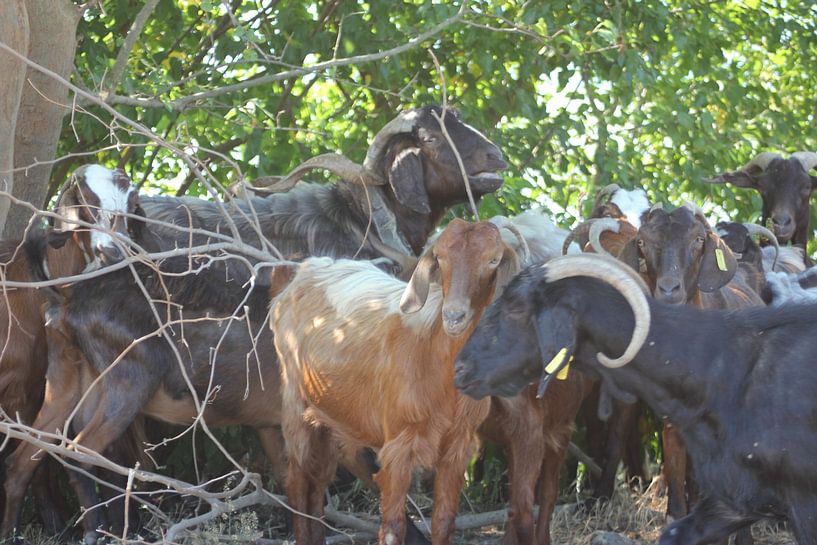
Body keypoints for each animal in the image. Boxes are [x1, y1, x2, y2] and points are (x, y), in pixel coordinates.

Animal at [271, 218, 523, 545]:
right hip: (294, 402)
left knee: (319, 479)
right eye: (440, 258)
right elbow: (392, 527)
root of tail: (302, 271)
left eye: (493, 260)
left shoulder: (458, 448)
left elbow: (444, 522)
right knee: (297, 479)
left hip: (326, 414)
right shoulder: (397, 447)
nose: (454, 316)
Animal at [456, 253, 817, 545]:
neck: (720, 367)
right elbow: (674, 534)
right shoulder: (734, 498)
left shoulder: (803, 502)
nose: (460, 368)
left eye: (516, 307)